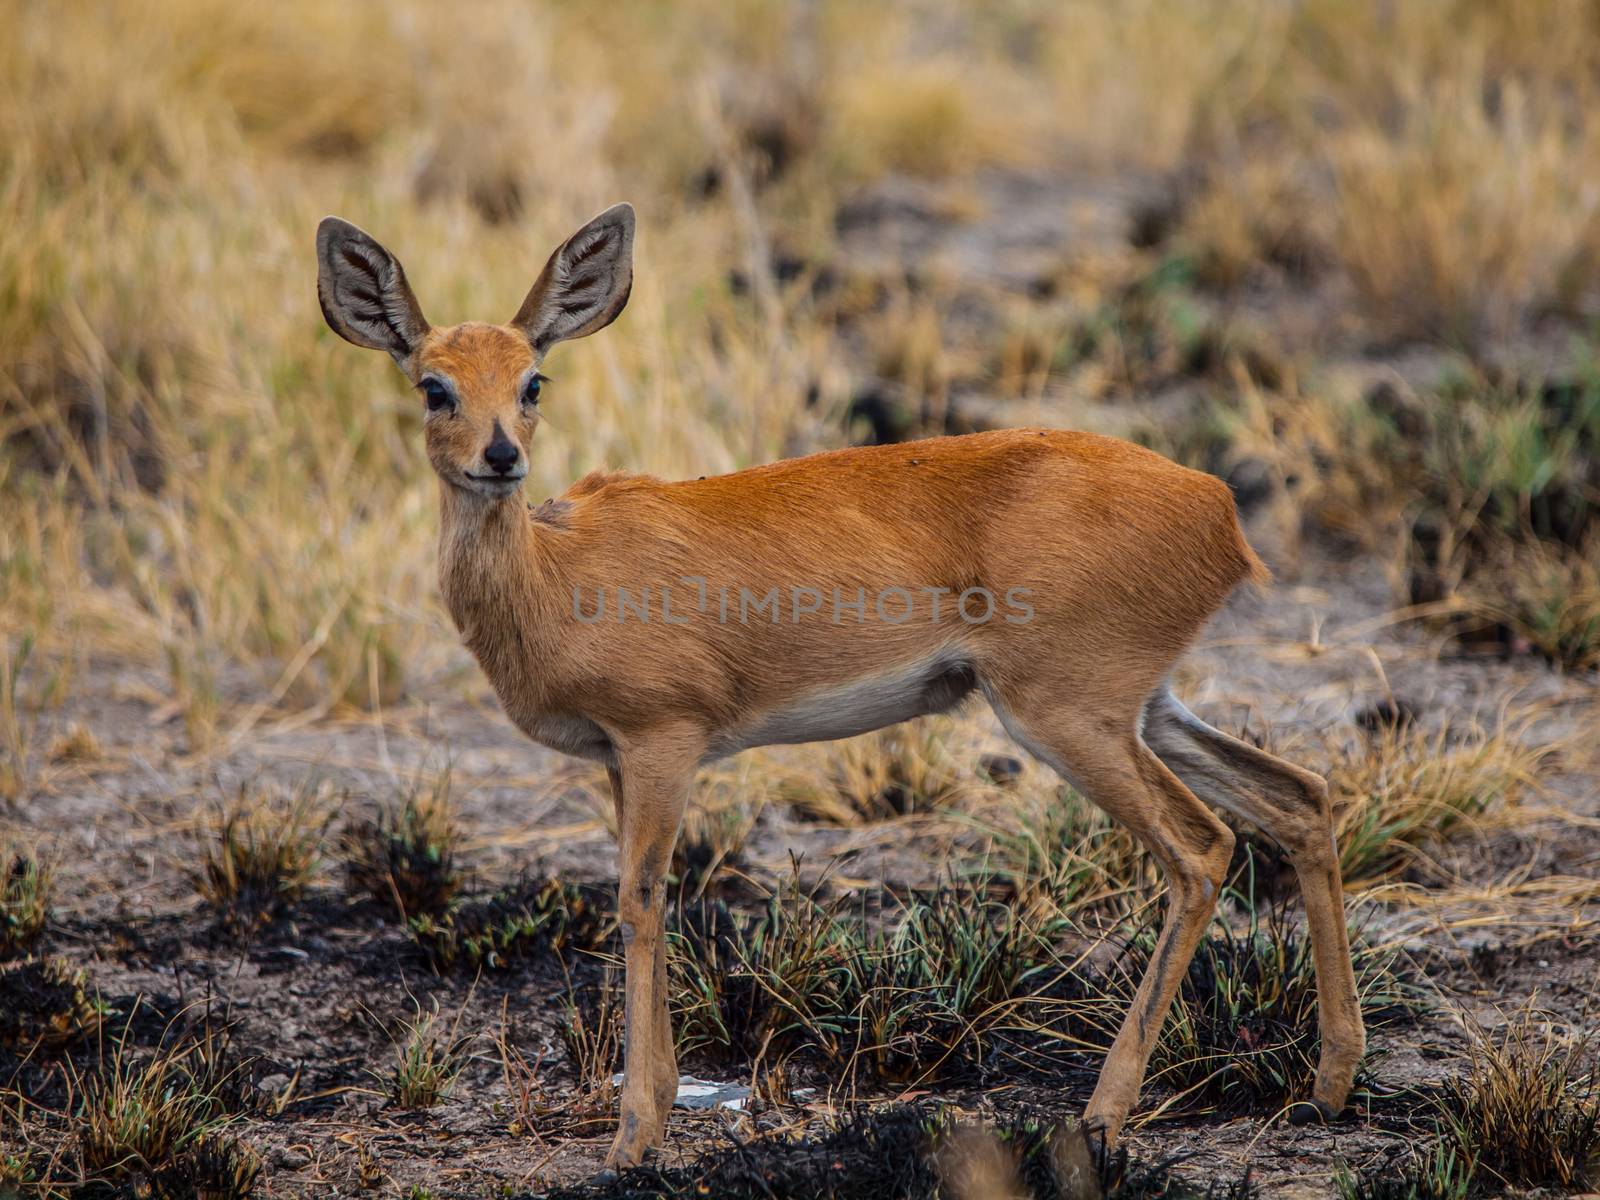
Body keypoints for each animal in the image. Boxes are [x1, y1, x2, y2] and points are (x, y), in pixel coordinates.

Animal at [312, 202, 1363, 1171]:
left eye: (533, 380)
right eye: (434, 385)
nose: (501, 457)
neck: (557, 577)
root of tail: (1219, 509)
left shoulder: (662, 742)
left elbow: (639, 902)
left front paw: (635, 1136)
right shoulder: (617, 759)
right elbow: (648, 900)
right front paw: (657, 1104)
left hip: (1066, 717)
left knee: (1202, 849)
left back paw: (1103, 1117)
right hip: (1146, 707)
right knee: (1300, 798)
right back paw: (1329, 1085)